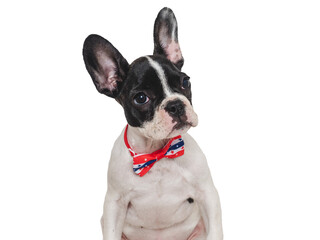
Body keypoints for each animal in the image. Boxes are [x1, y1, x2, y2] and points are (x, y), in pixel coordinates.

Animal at [82, 7, 222, 240]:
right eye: (141, 98)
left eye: (185, 81)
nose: (175, 105)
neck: (157, 152)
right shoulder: (114, 204)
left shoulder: (207, 193)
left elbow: (215, 229)